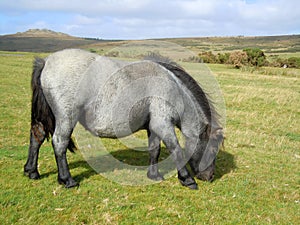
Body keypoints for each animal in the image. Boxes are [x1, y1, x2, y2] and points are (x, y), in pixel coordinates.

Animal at [24, 48, 223, 190]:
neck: (174, 88)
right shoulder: (163, 125)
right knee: (60, 143)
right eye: (213, 149)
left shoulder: (153, 127)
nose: (210, 177)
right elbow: (176, 150)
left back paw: (31, 171)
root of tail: (46, 61)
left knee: (37, 137)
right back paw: (67, 180)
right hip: (66, 118)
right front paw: (187, 179)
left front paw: (154, 175)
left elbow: (154, 150)